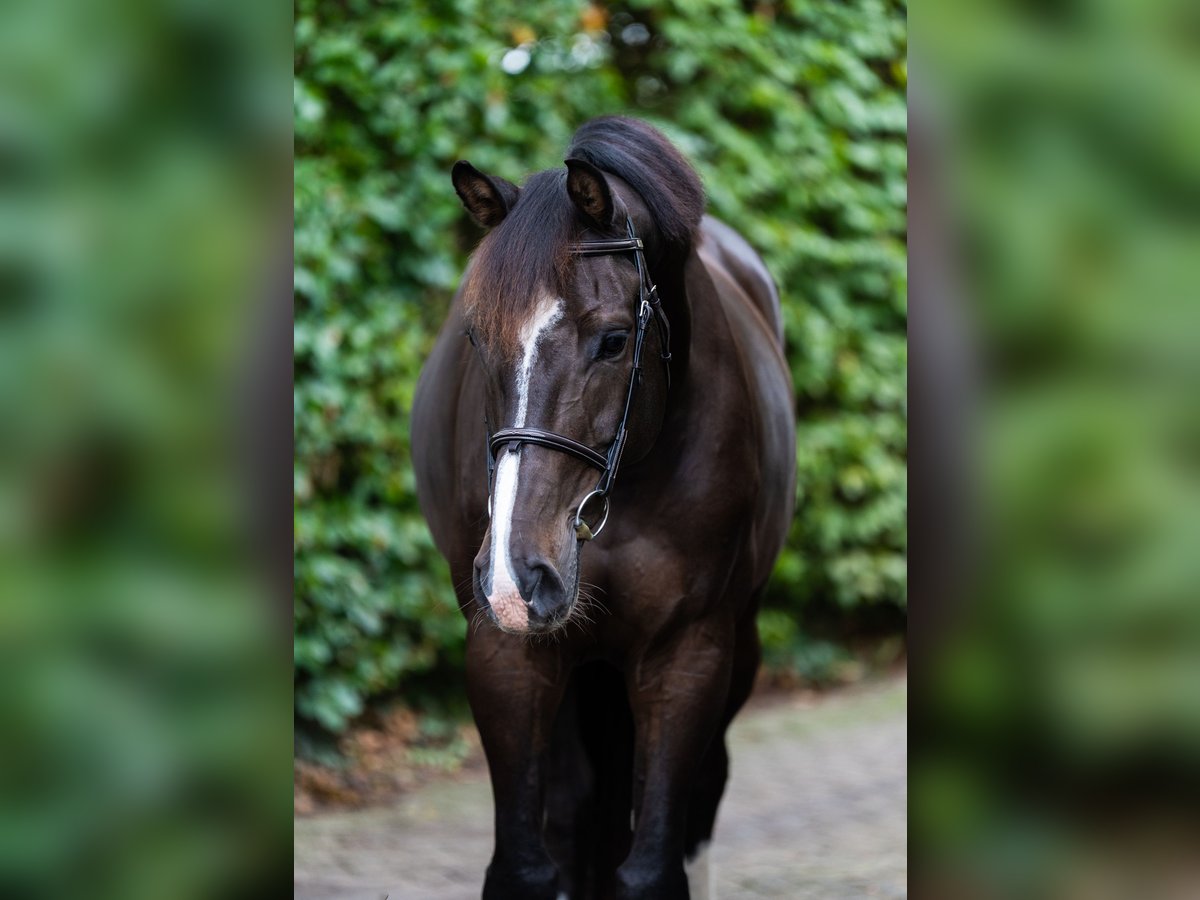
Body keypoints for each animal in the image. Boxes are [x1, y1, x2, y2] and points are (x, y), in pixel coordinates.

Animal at [412, 116, 795, 900]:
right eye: (476, 339)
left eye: (615, 340)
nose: (516, 574)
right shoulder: (505, 649)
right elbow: (528, 864)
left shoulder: (689, 654)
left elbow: (650, 868)